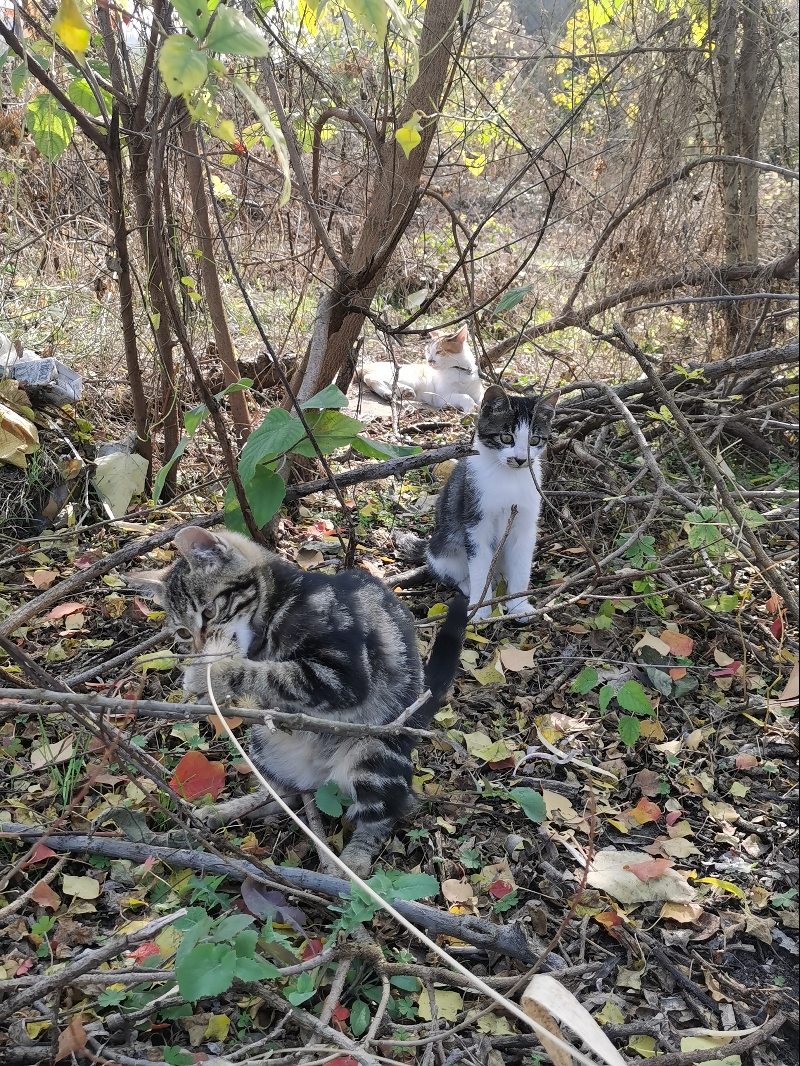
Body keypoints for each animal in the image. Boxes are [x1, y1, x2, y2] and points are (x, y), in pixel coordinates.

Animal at [132, 528, 469, 878]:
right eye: (183, 633)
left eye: (209, 613)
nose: (200, 649)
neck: (280, 605)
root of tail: (317, 778)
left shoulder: (343, 675)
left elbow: (272, 674)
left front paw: (212, 674)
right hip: (264, 743)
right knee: (281, 797)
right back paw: (225, 811)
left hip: (374, 750)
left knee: (389, 809)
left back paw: (353, 862)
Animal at [403, 388, 554, 622]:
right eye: (506, 437)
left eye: (534, 440)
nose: (520, 459)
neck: (508, 478)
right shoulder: (475, 523)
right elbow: (479, 568)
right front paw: (480, 610)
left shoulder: (525, 525)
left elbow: (521, 564)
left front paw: (519, 605)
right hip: (444, 549)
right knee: (454, 572)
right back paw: (470, 586)